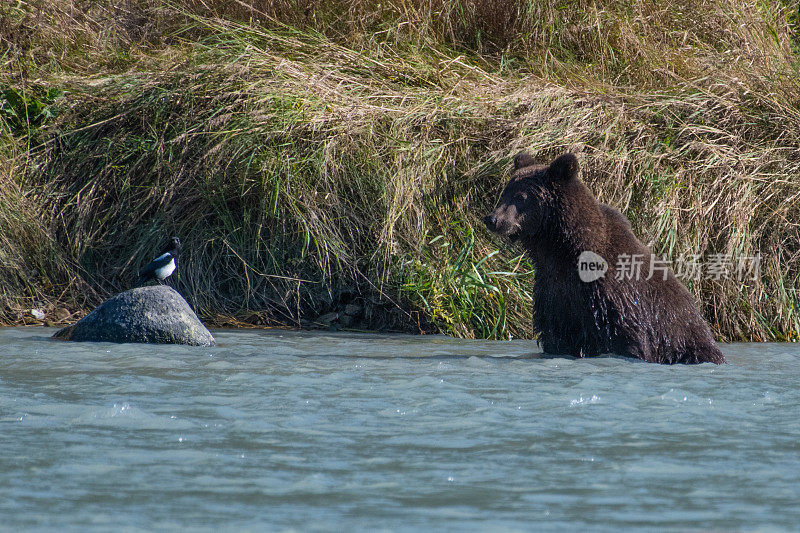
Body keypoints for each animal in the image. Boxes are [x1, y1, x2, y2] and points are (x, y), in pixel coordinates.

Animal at [484, 152, 728, 364]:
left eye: (521, 197)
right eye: (505, 193)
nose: (493, 219)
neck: (562, 251)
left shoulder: (615, 296)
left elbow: (631, 339)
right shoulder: (556, 295)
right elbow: (555, 336)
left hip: (685, 338)